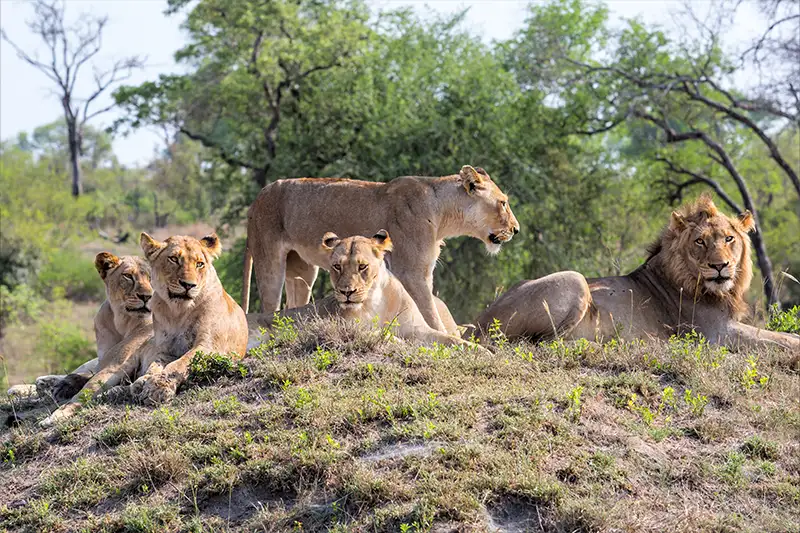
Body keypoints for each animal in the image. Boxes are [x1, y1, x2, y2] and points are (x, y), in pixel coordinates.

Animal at [242, 165, 519, 333]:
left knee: (293, 303)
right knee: (270, 304)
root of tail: (259, 195)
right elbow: (430, 313)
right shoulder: (411, 272)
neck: (443, 214)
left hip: (302, 270)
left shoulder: (423, 271)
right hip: (269, 260)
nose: (516, 229)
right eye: (503, 203)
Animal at [247, 230, 487, 352]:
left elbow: (451, 340)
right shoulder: (345, 328)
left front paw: (482, 352)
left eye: (362, 266)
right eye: (337, 266)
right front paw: (400, 343)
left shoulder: (418, 329)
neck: (375, 300)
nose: (347, 292)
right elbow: (381, 334)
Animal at [472, 194, 800, 352]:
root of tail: (475, 324)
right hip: (574, 279)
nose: (720, 266)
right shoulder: (715, 333)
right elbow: (778, 341)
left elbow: (782, 337)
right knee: (540, 343)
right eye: (700, 241)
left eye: (729, 239)